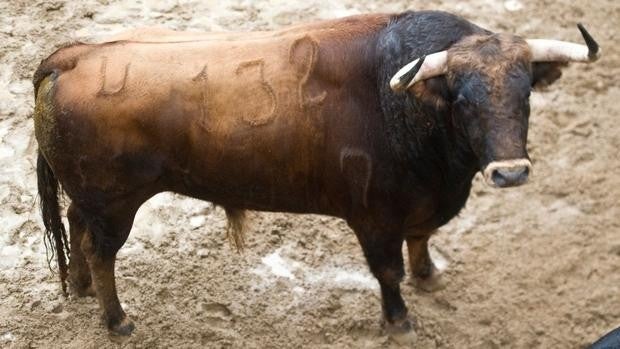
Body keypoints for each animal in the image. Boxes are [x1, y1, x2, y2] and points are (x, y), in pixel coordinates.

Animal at [32, 10, 600, 336]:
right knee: (101, 252)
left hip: (91, 199)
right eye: (461, 99)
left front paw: (430, 276)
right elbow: (388, 272)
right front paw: (399, 322)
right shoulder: (375, 220)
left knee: (76, 226)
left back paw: (81, 289)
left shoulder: (419, 205)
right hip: (115, 205)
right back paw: (117, 321)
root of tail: (73, 55)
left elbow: (421, 241)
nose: (510, 173)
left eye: (526, 93)